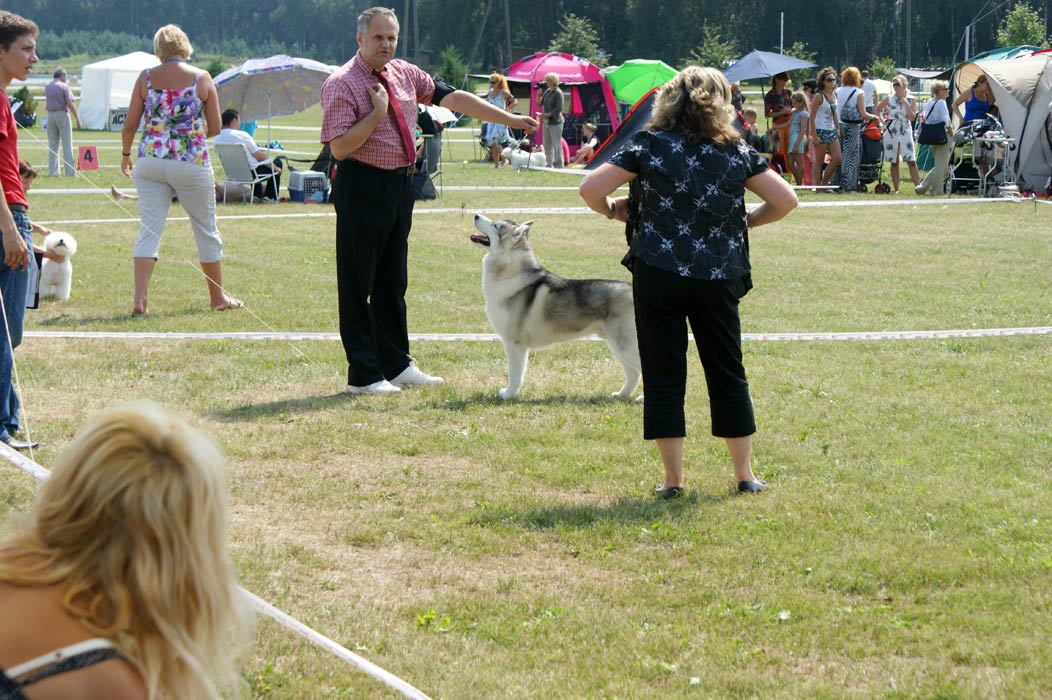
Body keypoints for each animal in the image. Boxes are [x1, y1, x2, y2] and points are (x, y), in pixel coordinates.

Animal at [471, 214, 641, 400]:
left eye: (496, 226)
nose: (476, 215)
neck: (509, 273)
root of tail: (632, 288)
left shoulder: (514, 342)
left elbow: (515, 373)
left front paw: (509, 394)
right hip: (617, 347)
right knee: (633, 374)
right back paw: (621, 395)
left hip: (625, 346)